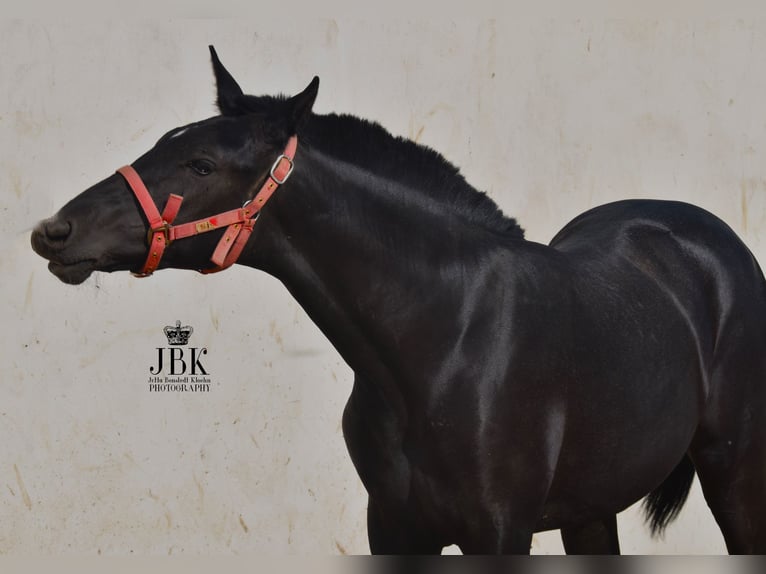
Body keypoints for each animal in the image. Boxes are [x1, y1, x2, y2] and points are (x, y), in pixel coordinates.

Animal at [30, 47, 766, 556]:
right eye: (161, 144)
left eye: (201, 165)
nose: (55, 232)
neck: (444, 340)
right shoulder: (394, 528)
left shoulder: (500, 534)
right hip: (592, 506)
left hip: (733, 474)